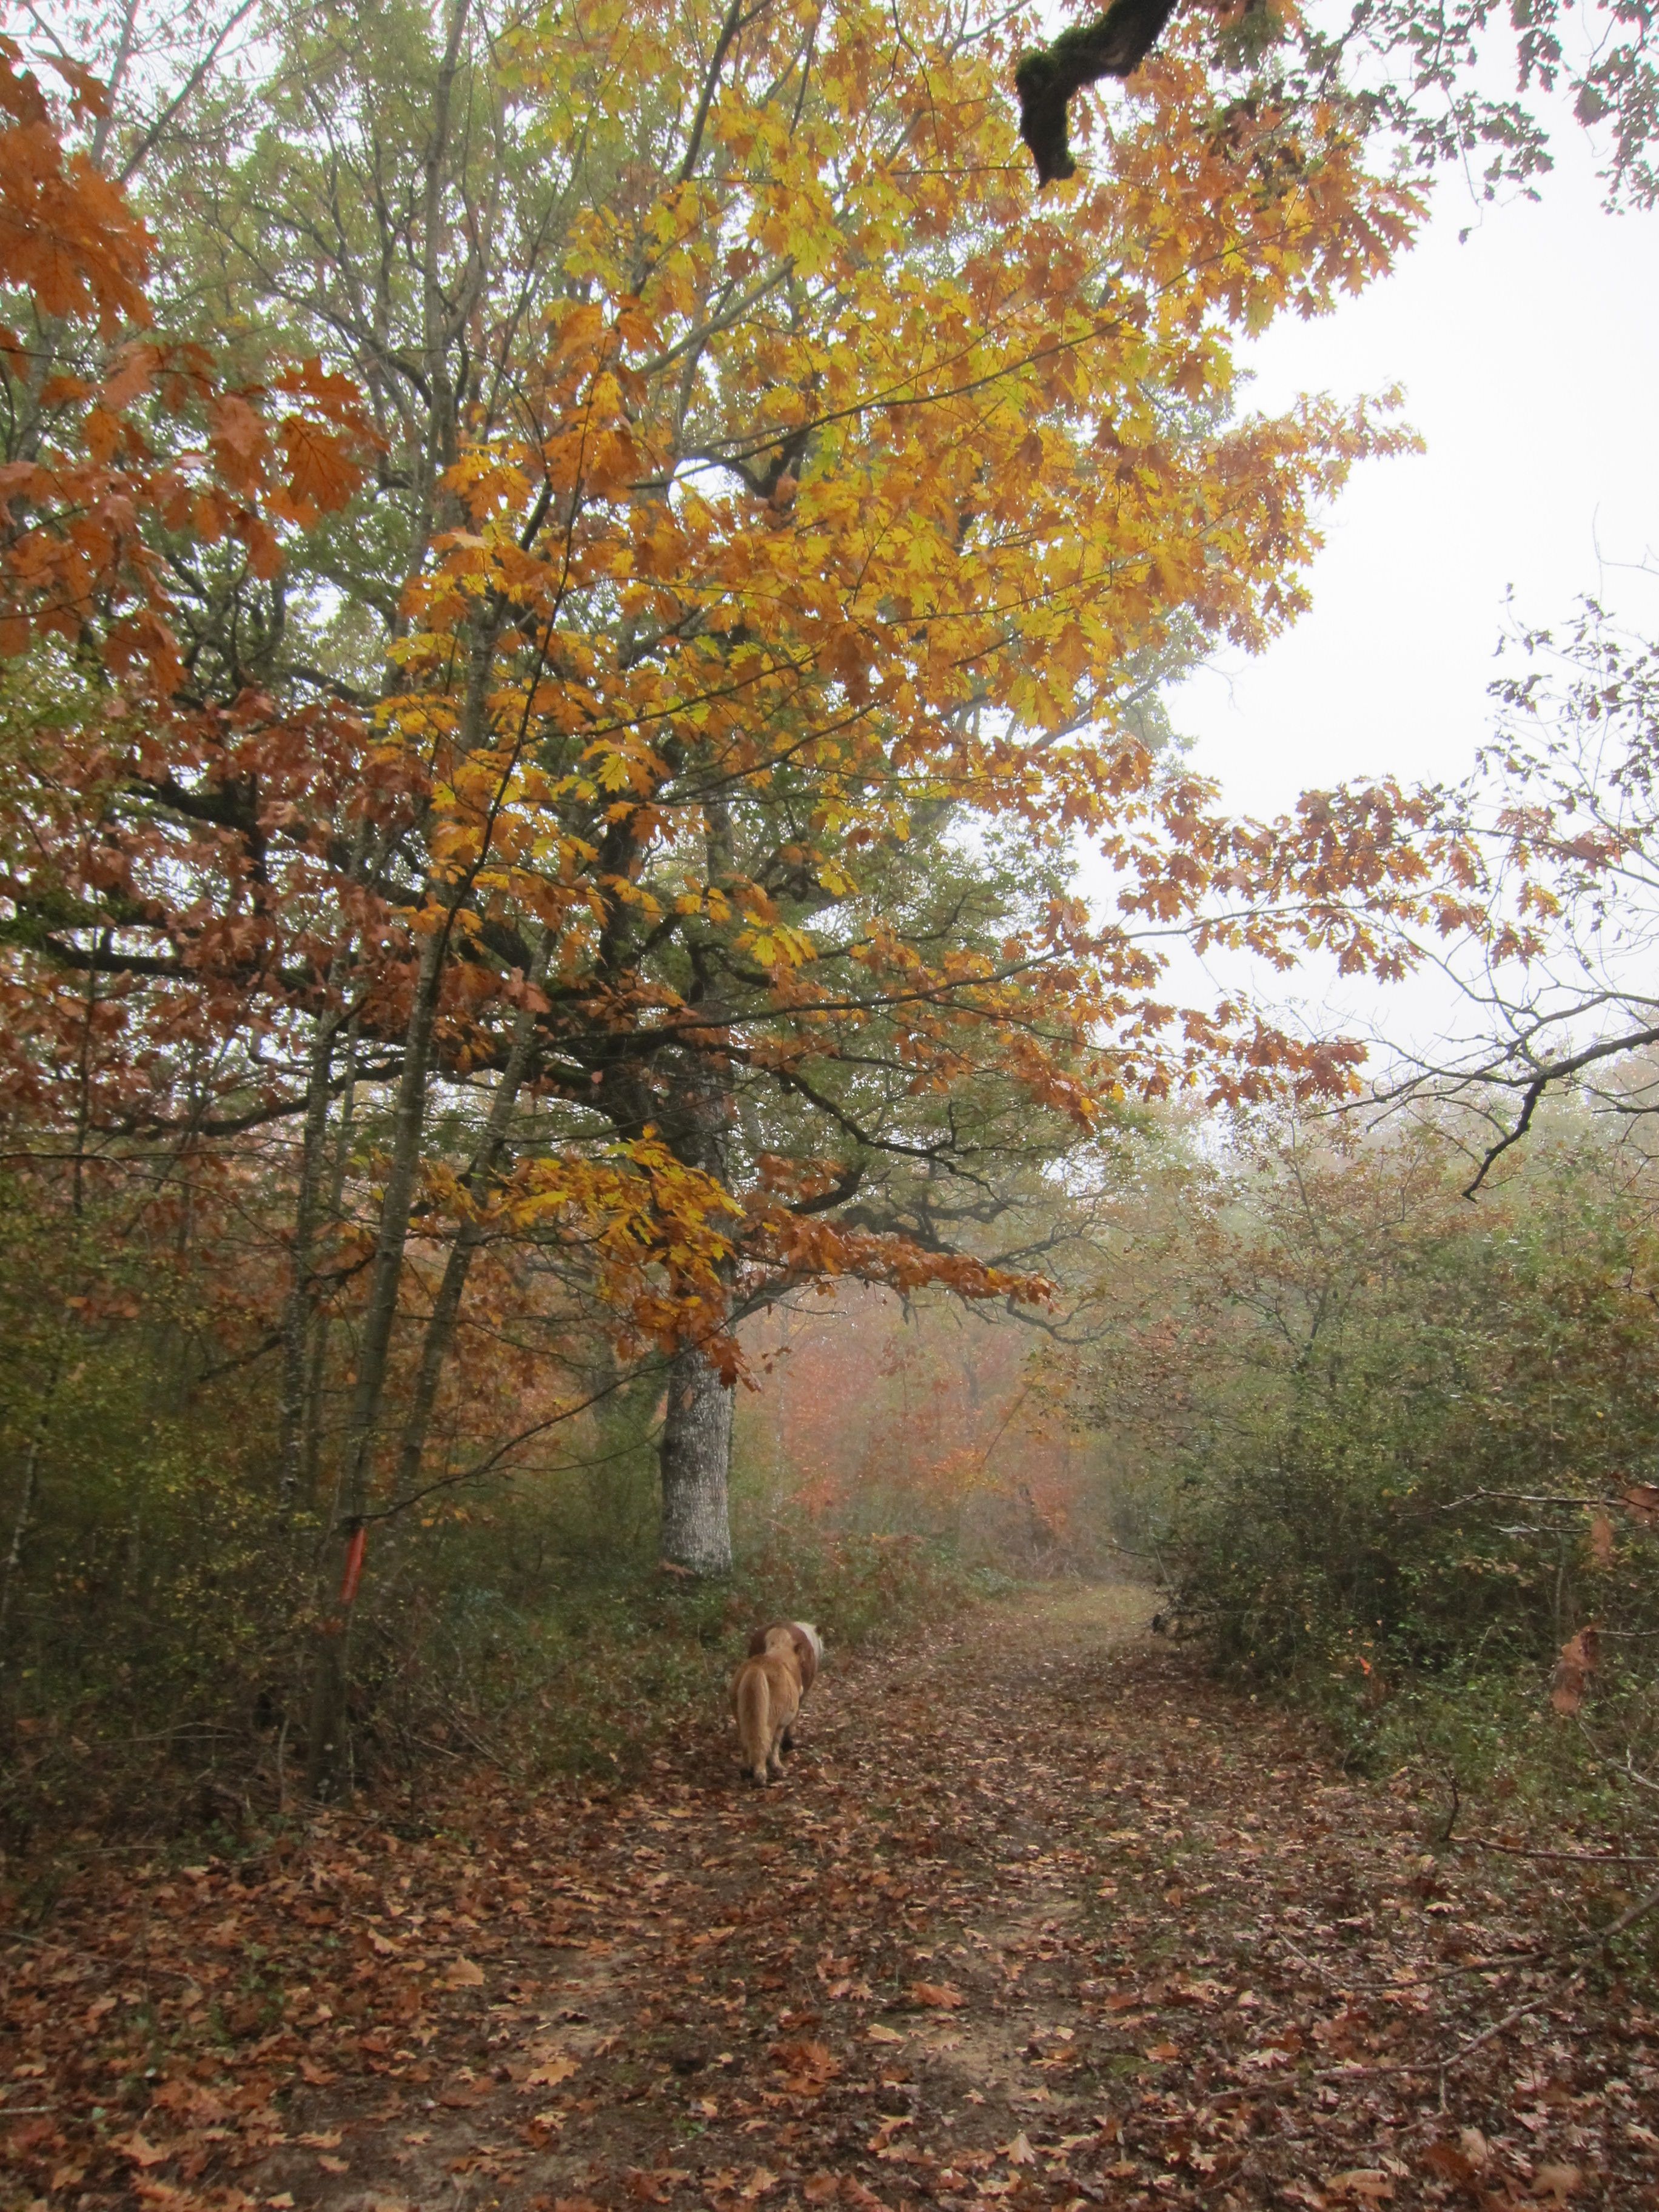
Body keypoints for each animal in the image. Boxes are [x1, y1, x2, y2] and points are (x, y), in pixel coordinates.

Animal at [734, 1627, 805, 1778]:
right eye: (801, 1663)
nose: (801, 1689)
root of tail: (756, 1667)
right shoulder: (781, 1724)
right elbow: (776, 1743)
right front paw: (777, 1765)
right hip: (771, 1717)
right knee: (764, 1740)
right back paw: (761, 1774)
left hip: (740, 1718)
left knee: (745, 1741)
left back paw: (746, 1770)